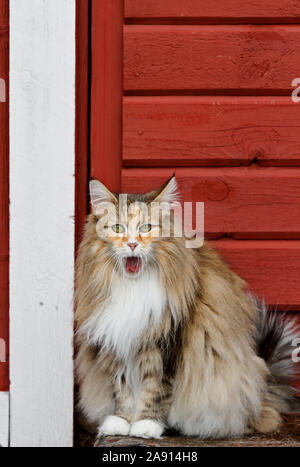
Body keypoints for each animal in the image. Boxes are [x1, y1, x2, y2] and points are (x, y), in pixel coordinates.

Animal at [75, 177, 300, 444]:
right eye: (118, 228)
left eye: (146, 227)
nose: (132, 244)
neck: (133, 287)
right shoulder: (116, 344)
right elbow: (123, 390)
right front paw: (122, 422)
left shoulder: (167, 344)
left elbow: (155, 391)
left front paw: (146, 425)